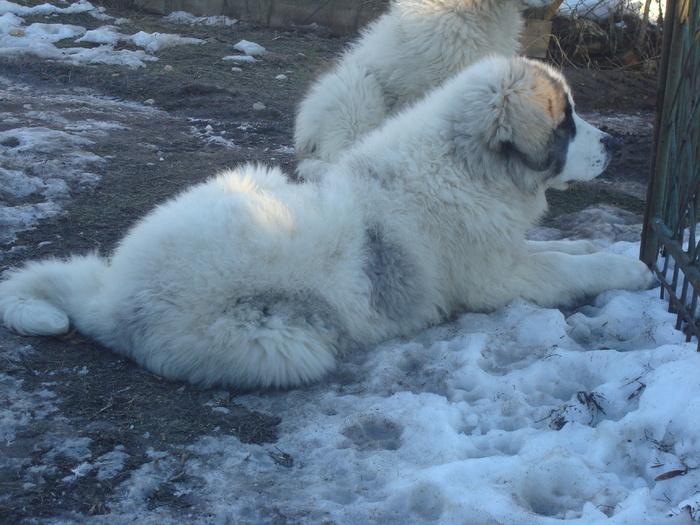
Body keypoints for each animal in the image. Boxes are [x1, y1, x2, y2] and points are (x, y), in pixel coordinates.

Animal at [1, 59, 656, 390]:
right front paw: (633, 269)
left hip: (252, 181)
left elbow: (569, 246)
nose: (617, 144)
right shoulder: (500, 276)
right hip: (287, 343)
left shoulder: (511, 250)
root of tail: (111, 299)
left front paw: (609, 244)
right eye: (566, 123)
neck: (464, 165)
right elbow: (567, 267)